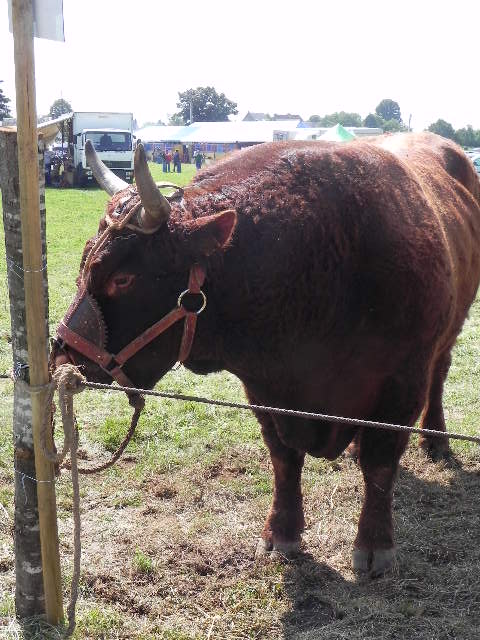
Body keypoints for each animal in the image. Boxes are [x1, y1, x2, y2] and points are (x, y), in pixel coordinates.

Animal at [52, 134, 480, 576]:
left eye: (123, 278)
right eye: (84, 261)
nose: (60, 359)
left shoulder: (402, 381)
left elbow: (380, 463)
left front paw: (375, 545)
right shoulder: (264, 388)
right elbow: (284, 459)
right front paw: (281, 534)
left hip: (448, 336)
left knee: (439, 377)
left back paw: (436, 440)